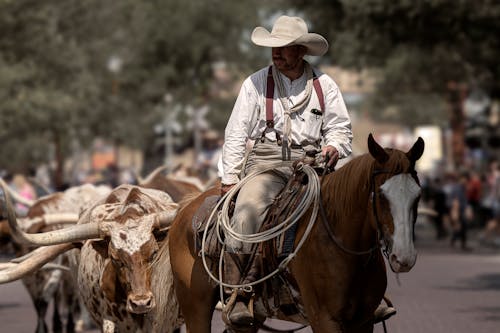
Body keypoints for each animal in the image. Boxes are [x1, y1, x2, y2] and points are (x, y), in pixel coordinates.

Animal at [169, 133, 426, 332]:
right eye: (381, 195)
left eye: (418, 195)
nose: (404, 258)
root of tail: (189, 206)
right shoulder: (324, 318)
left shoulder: (364, 321)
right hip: (195, 307)